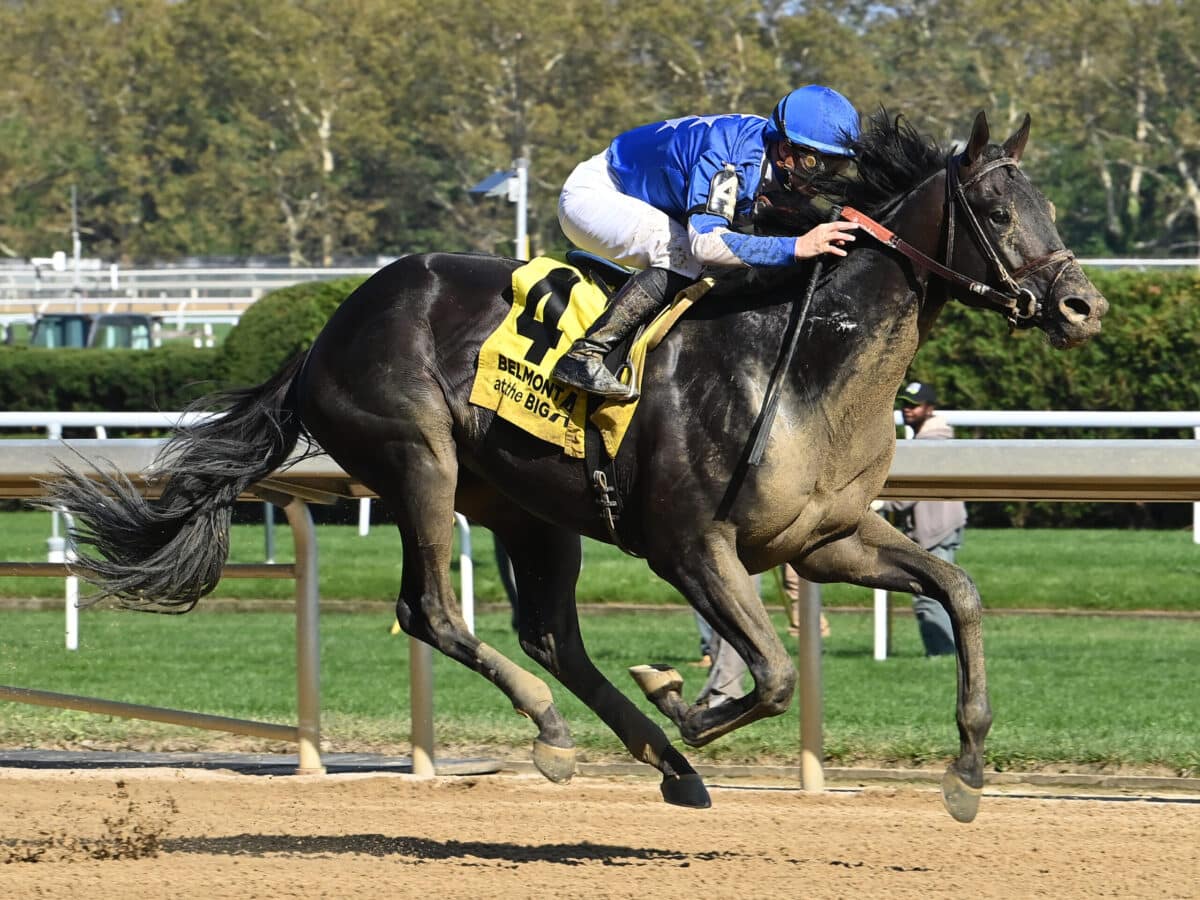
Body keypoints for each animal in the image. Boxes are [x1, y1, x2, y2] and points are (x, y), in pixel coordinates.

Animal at [51, 109, 1108, 820]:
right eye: (993, 208)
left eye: (1047, 203)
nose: (1083, 306)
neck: (799, 357)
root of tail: (325, 332)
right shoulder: (691, 545)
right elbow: (770, 677)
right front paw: (682, 698)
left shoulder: (825, 539)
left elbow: (958, 593)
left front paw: (966, 772)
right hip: (419, 463)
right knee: (432, 610)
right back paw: (564, 733)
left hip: (531, 508)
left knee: (550, 633)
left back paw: (662, 762)